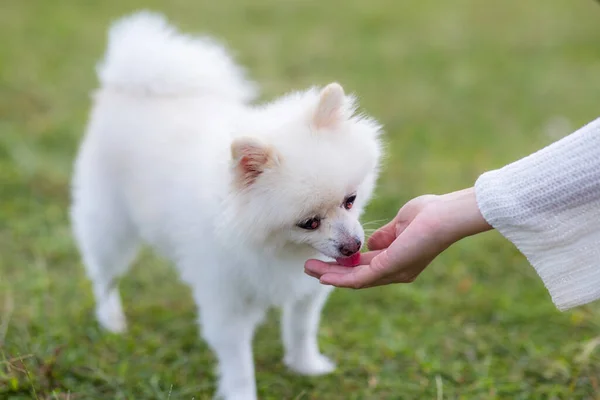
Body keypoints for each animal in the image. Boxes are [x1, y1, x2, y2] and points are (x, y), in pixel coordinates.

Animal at [70, 11, 380, 400]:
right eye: (309, 222)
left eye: (350, 200)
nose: (353, 245)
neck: (277, 248)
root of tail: (134, 83)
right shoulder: (224, 298)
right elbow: (238, 361)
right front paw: (242, 392)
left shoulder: (306, 289)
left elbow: (301, 328)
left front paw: (306, 366)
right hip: (110, 223)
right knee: (105, 276)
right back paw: (111, 320)